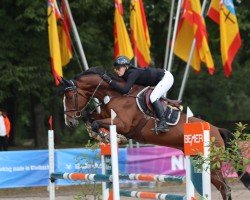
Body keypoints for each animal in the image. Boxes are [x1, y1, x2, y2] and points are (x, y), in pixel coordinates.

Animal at [61, 67, 250, 198]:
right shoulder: (105, 115)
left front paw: (109, 135)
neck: (114, 94)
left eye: (69, 97)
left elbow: (97, 123)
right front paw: (97, 132)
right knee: (223, 188)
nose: (69, 122)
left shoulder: (123, 123)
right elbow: (90, 117)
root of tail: (217, 129)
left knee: (225, 188)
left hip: (211, 162)